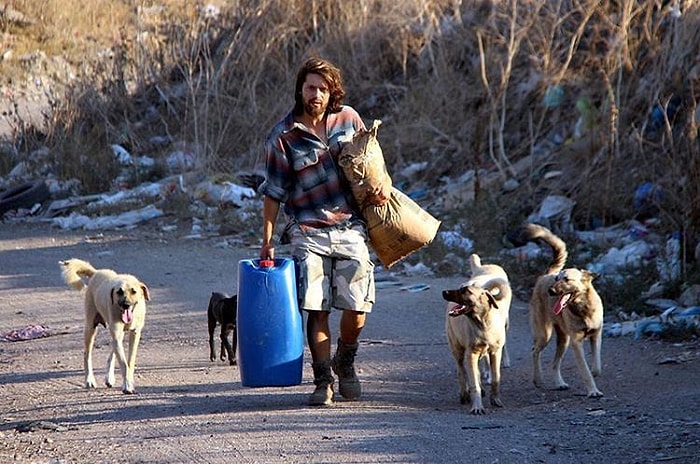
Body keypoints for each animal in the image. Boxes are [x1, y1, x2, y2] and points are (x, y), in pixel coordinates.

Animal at [59, 260, 150, 394]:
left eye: (134, 291)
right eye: (119, 292)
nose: (126, 304)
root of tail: (96, 272)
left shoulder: (135, 334)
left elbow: (130, 362)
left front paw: (129, 380)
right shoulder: (116, 334)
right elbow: (123, 364)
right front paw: (127, 385)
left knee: (112, 352)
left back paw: (109, 377)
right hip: (90, 328)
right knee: (87, 355)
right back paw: (89, 380)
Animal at [442, 272, 508, 414]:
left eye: (465, 291)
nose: (444, 292)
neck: (482, 324)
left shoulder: (495, 352)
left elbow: (496, 378)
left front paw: (495, 400)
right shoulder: (471, 353)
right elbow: (473, 384)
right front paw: (477, 407)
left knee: (475, 372)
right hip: (458, 350)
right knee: (461, 371)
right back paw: (464, 394)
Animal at [516, 223, 604, 396]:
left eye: (567, 279)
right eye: (557, 279)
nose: (551, 291)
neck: (583, 310)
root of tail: (544, 276)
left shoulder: (596, 336)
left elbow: (596, 367)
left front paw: (594, 372)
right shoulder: (576, 343)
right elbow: (585, 371)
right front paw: (592, 390)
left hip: (564, 340)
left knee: (555, 363)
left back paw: (559, 383)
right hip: (545, 335)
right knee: (534, 351)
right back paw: (538, 380)